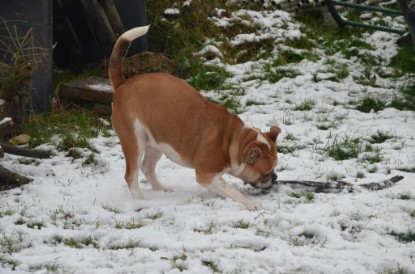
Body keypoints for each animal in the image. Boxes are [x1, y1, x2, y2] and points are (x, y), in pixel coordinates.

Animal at [109, 26, 282, 210]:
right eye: (266, 173)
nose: (275, 177)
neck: (233, 140)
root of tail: (123, 84)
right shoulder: (207, 175)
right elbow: (232, 190)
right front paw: (250, 203)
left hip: (157, 141)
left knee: (147, 167)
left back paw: (161, 188)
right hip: (134, 141)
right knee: (131, 175)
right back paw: (140, 199)